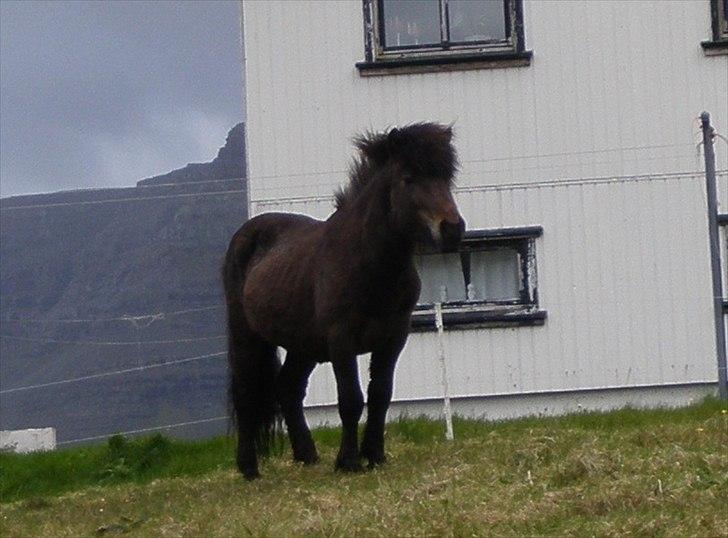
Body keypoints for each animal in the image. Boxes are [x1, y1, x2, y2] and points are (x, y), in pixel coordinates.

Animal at [222, 122, 466, 478]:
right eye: (408, 177)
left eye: (447, 176)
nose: (452, 229)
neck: (369, 263)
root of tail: (246, 233)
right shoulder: (341, 340)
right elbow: (351, 399)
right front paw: (348, 461)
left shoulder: (393, 339)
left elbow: (380, 395)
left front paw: (375, 454)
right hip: (247, 335)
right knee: (246, 394)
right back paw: (249, 467)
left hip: (302, 344)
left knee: (288, 388)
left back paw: (306, 455)